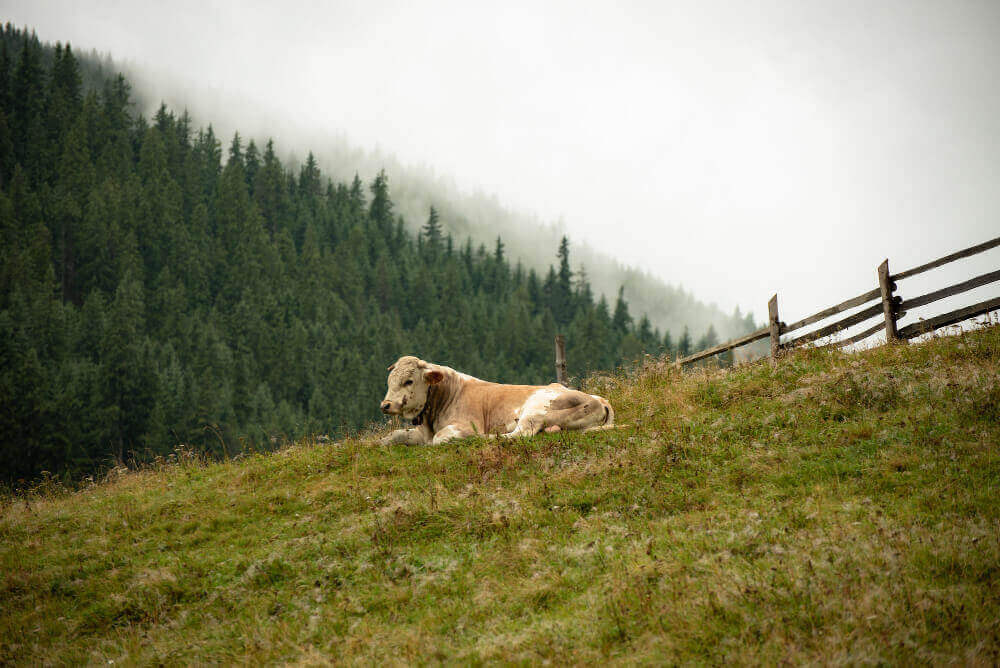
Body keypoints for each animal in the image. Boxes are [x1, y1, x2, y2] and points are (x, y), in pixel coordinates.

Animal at [378, 354, 612, 444]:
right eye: (389, 380)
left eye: (408, 381)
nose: (385, 405)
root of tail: (600, 401)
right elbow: (395, 436)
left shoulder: (464, 424)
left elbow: (440, 438)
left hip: (535, 409)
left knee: (519, 434)